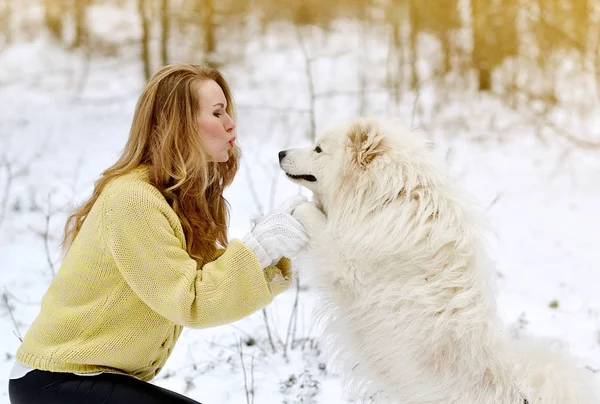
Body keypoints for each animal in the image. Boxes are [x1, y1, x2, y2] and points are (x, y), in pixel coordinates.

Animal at [278, 119, 596, 404]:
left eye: (318, 149)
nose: (280, 153)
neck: (387, 198)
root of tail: (516, 390)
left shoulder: (345, 259)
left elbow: (310, 215)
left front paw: (290, 212)